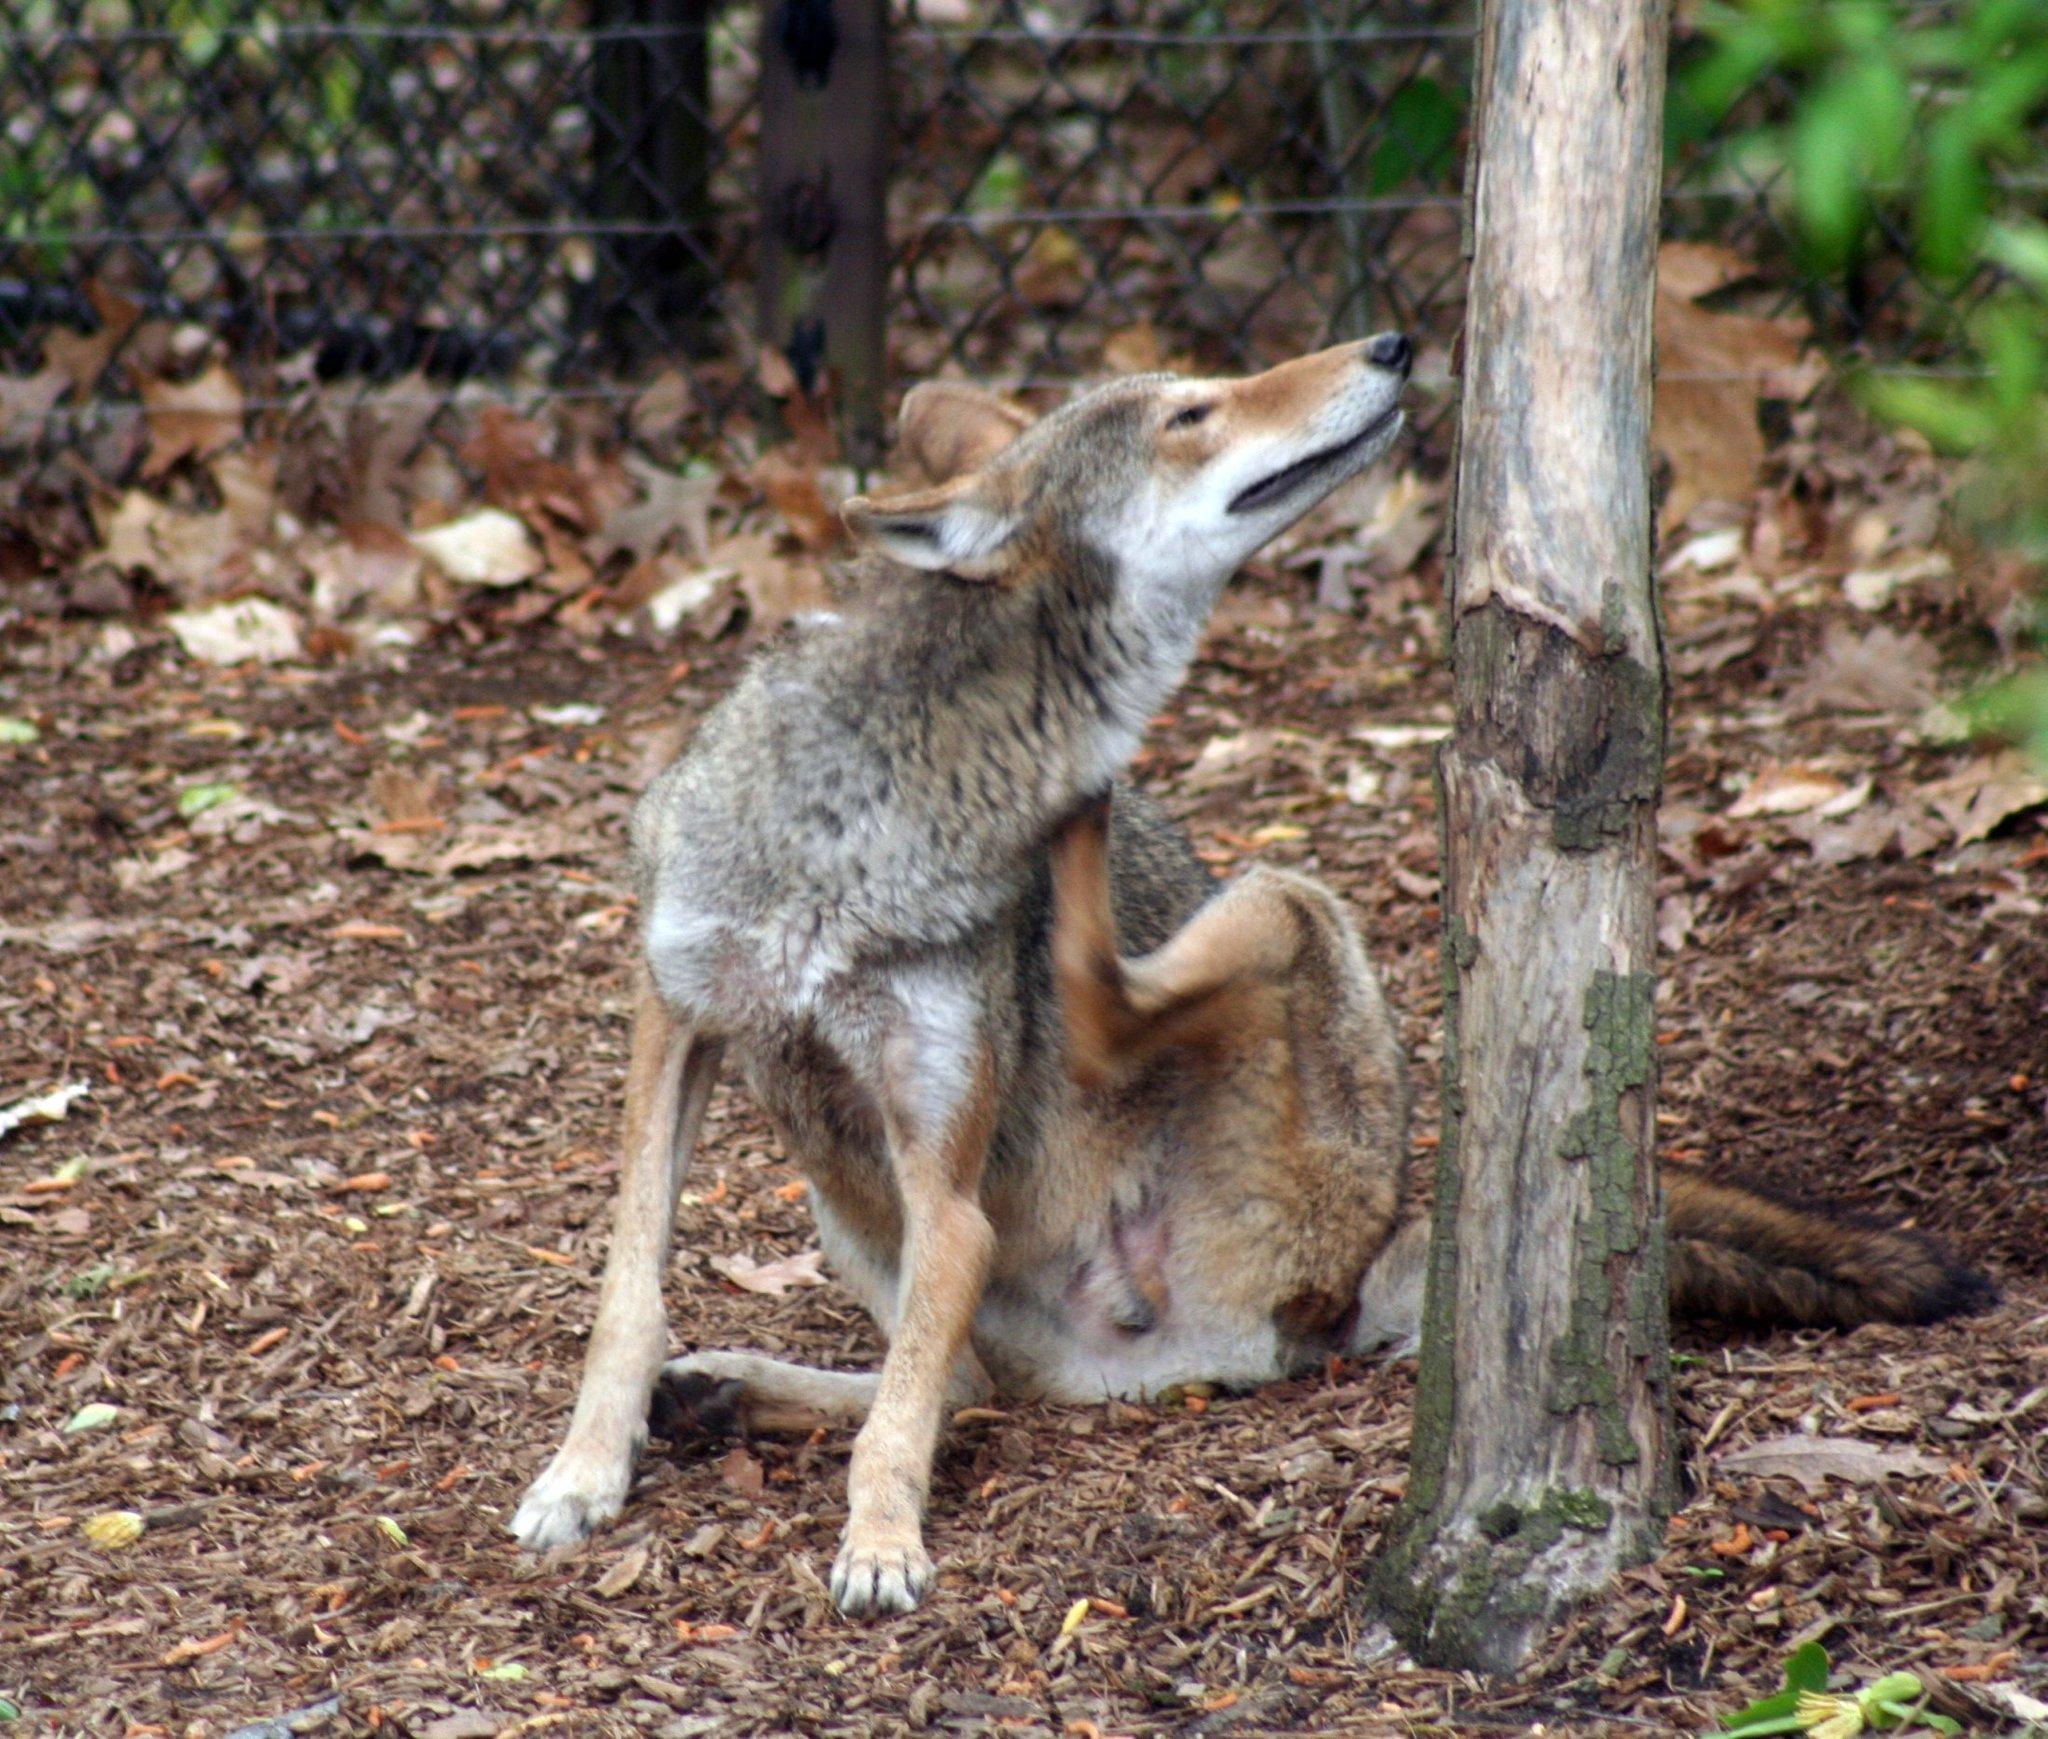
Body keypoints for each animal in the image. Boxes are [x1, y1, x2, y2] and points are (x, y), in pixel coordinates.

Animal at [510, 336, 1994, 1615]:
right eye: (1189, 412)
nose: (1392, 345)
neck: (876, 798)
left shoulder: (948, 1180)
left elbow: (899, 1415)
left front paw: (878, 1540)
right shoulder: (675, 1014)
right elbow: (631, 1281)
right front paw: (584, 1471)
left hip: (1291, 906)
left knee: (1058, 1128)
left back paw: (1083, 835)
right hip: (846, 1199)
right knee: (972, 1379)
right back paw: (719, 1388)